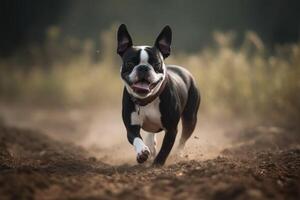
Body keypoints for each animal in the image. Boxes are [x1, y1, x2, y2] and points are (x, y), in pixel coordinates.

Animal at [118, 24, 202, 165]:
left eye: (156, 63)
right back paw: (150, 146)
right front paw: (142, 152)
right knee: (151, 134)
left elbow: (165, 149)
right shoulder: (131, 127)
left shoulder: (171, 129)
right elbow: (136, 139)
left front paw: (157, 164)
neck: (148, 100)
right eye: (130, 63)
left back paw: (177, 154)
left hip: (190, 118)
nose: (143, 68)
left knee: (183, 139)